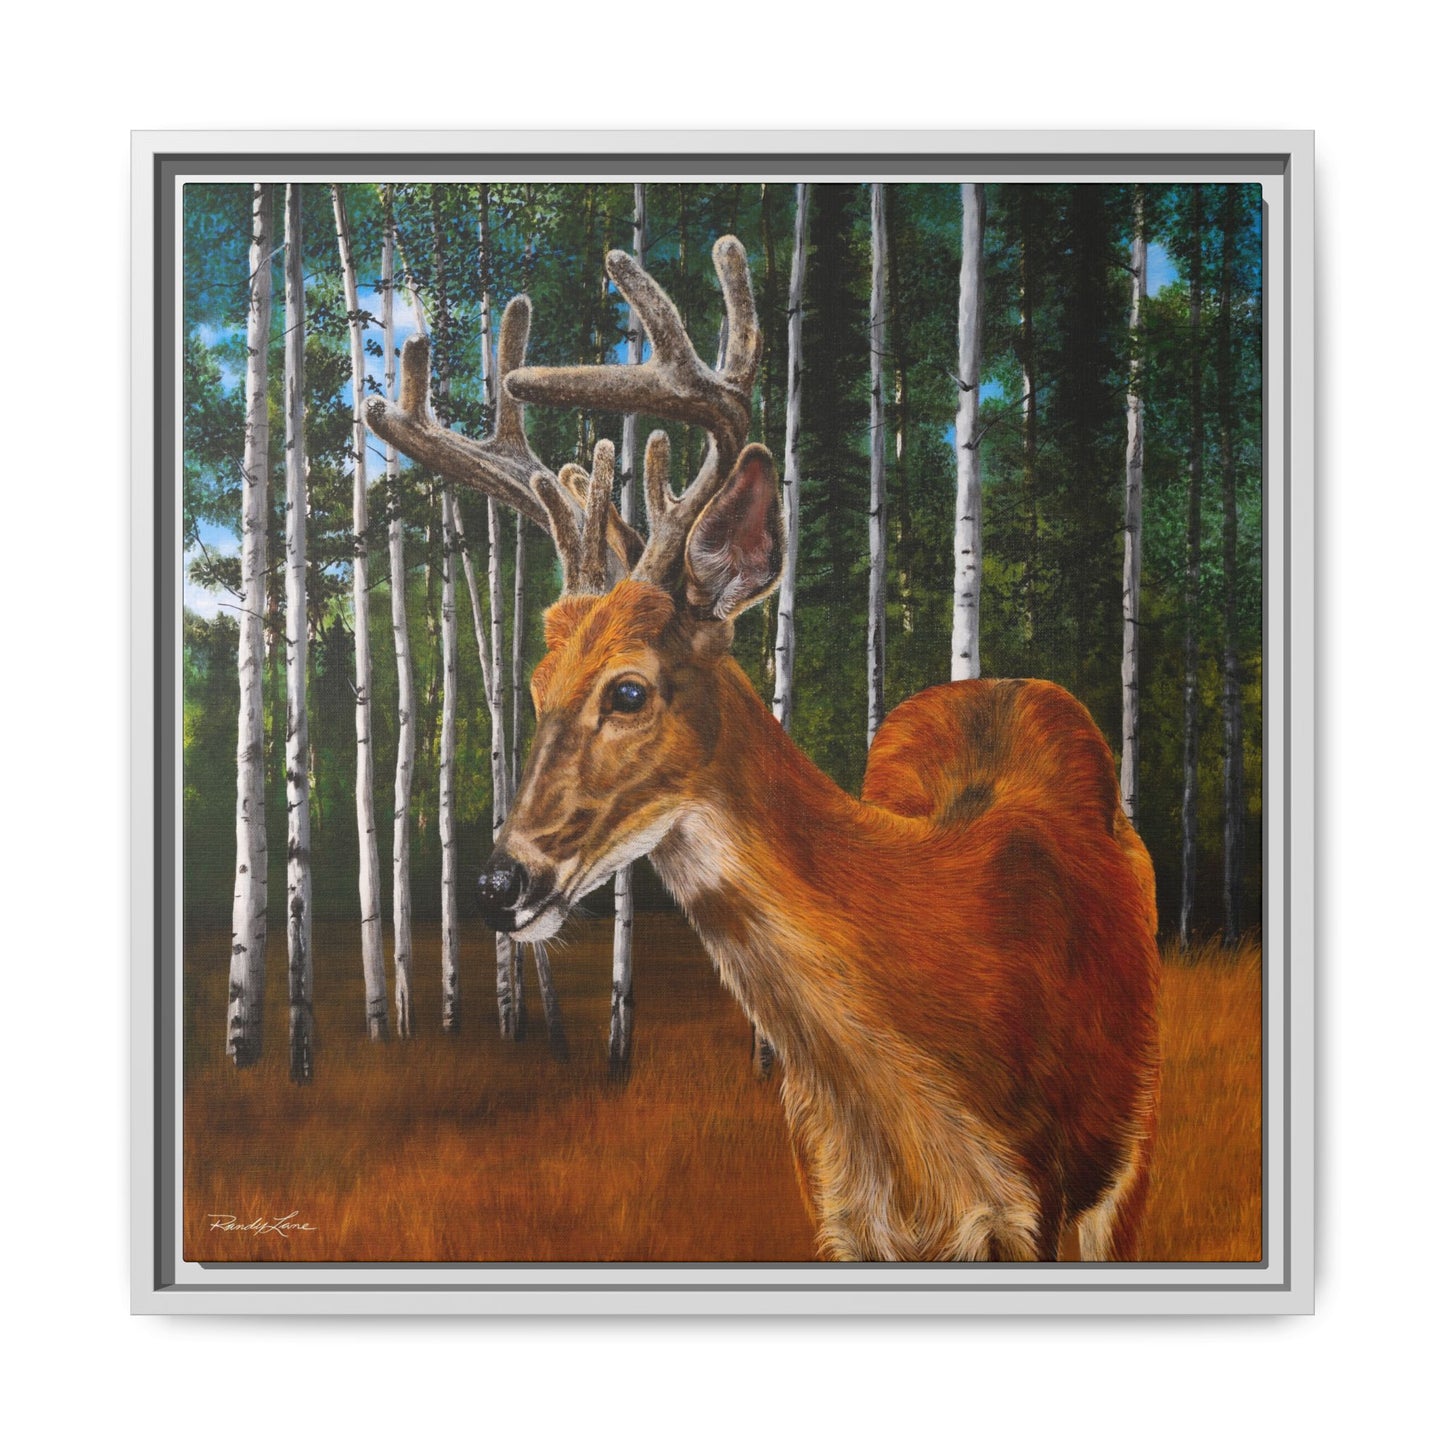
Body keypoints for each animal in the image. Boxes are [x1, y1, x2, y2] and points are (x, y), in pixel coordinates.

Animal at [366, 235, 1160, 1263]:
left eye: (628, 689)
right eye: (535, 688)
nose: (498, 884)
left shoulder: (1040, 1208)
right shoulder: (832, 1207)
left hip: (1128, 1160)